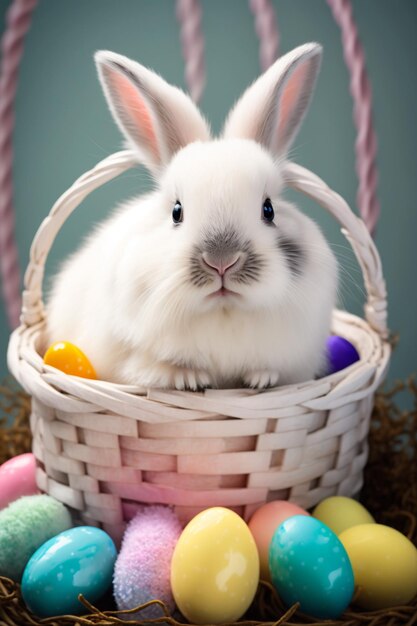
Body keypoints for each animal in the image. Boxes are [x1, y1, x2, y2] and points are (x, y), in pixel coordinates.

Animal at [45, 42, 338, 386]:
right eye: (176, 211)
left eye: (269, 209)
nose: (222, 261)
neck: (223, 312)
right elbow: (148, 368)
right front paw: (188, 379)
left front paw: (261, 379)